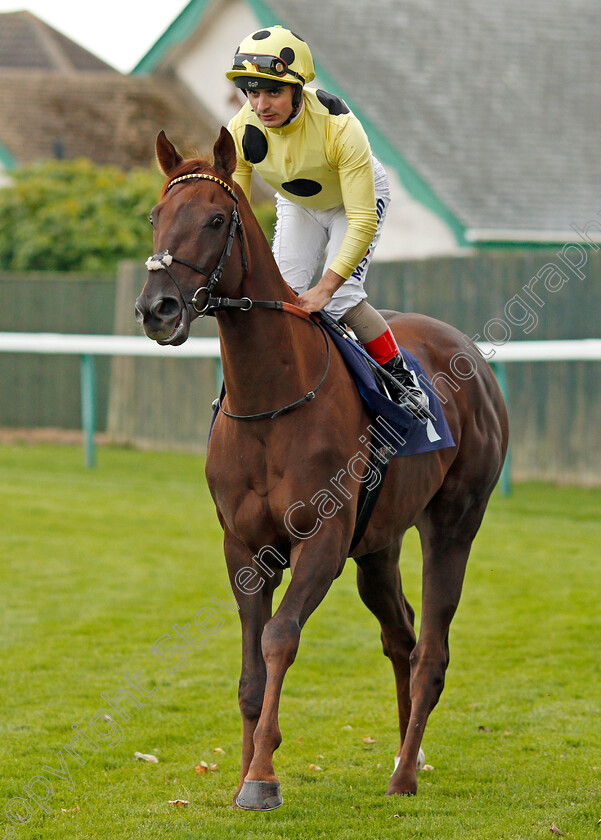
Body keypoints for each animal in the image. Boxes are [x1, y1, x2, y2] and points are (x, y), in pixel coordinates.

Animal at [135, 128, 506, 812]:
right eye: (156, 216)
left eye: (217, 218)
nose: (158, 309)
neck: (272, 400)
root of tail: (473, 358)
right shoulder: (243, 549)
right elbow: (251, 670)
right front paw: (243, 775)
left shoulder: (323, 540)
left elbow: (280, 638)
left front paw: (261, 776)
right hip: (379, 545)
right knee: (401, 633)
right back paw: (406, 751)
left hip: (453, 526)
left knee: (432, 650)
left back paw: (404, 776)